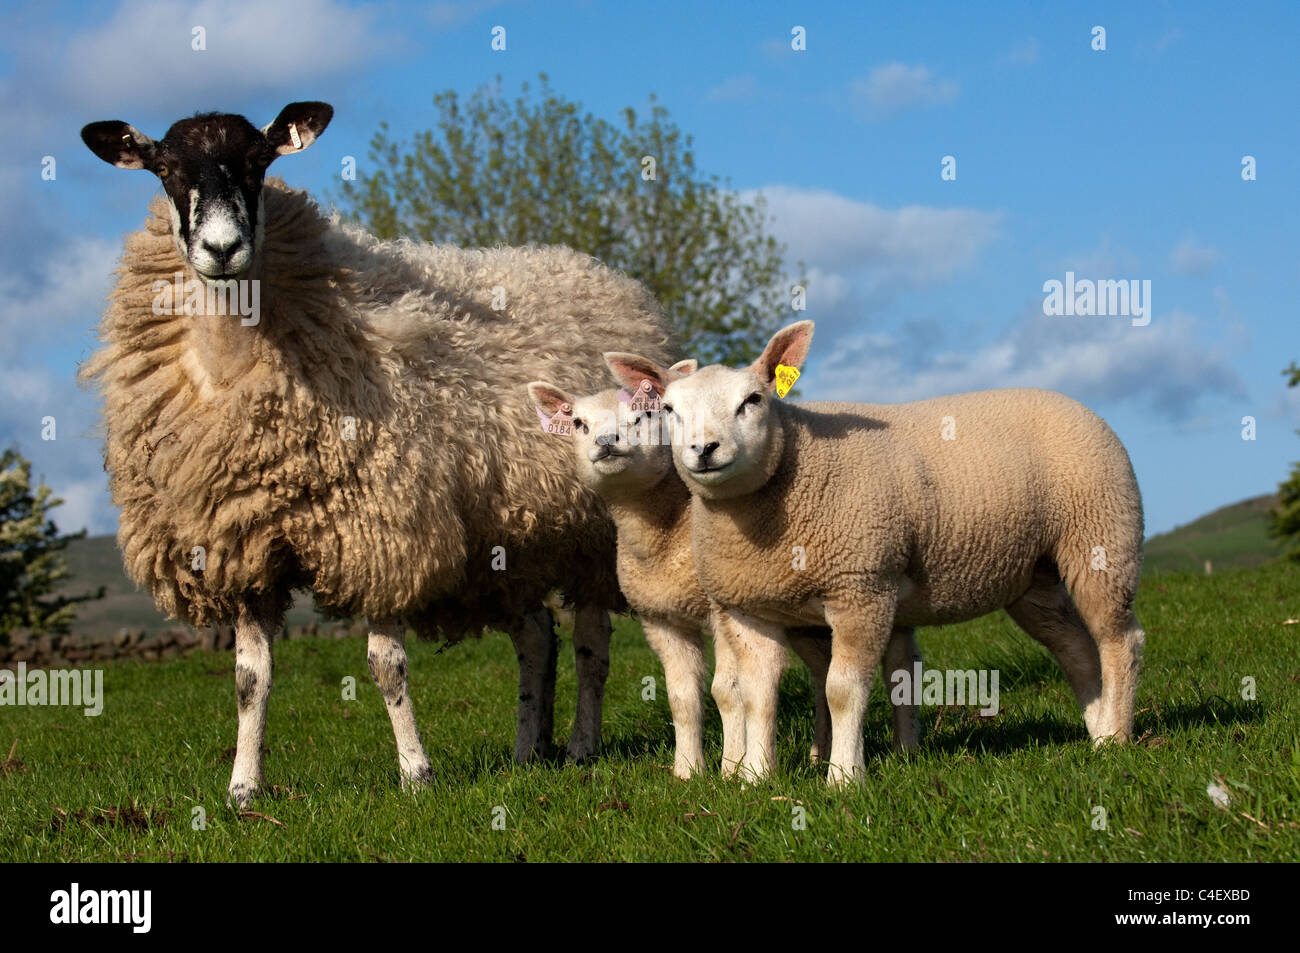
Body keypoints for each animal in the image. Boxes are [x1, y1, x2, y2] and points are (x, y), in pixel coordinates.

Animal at [79, 102, 670, 800]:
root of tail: (600, 274)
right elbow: (250, 679)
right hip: (508, 538)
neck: (233, 361)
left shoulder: (381, 532)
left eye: (259, 161)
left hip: (591, 534)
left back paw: (580, 745)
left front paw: (416, 773)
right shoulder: (241, 543)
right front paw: (243, 788)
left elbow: (386, 665)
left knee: (589, 643)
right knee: (535, 639)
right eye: (165, 169)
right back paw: (530, 749)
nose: (222, 249)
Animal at [613, 323, 1144, 785]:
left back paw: (1117, 740)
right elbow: (757, 696)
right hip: (1034, 578)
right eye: (670, 409)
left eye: (753, 400)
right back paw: (1097, 732)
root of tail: (1075, 404)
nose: (704, 449)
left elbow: (842, 691)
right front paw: (756, 780)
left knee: (1120, 640)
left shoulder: (861, 587)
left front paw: (844, 779)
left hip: (1101, 539)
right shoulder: (748, 607)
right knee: (1075, 648)